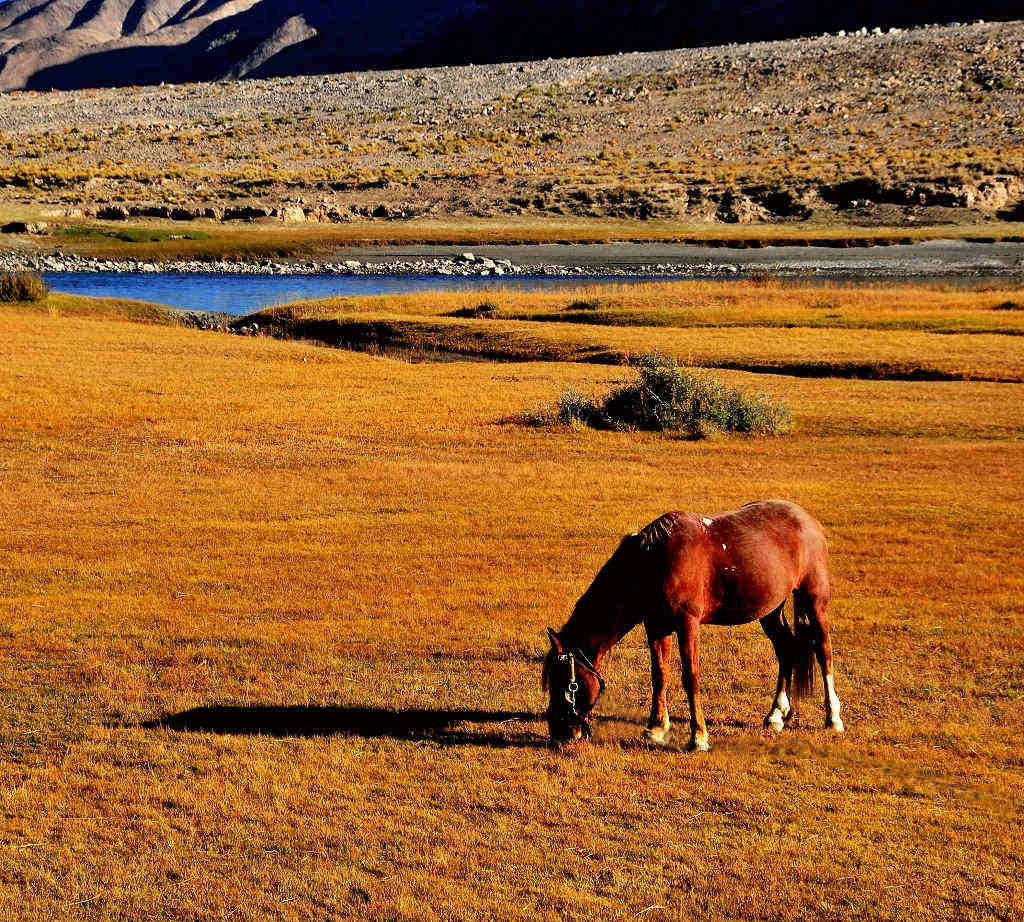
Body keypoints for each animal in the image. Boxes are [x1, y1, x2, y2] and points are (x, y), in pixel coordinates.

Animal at [540, 497, 843, 749]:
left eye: (567, 684)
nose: (559, 731)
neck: (654, 560)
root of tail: (805, 519)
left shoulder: (687, 623)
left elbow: (690, 676)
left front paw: (698, 737)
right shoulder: (656, 624)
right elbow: (659, 673)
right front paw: (656, 728)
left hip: (815, 600)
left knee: (823, 651)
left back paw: (833, 717)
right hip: (770, 610)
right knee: (786, 650)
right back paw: (776, 715)